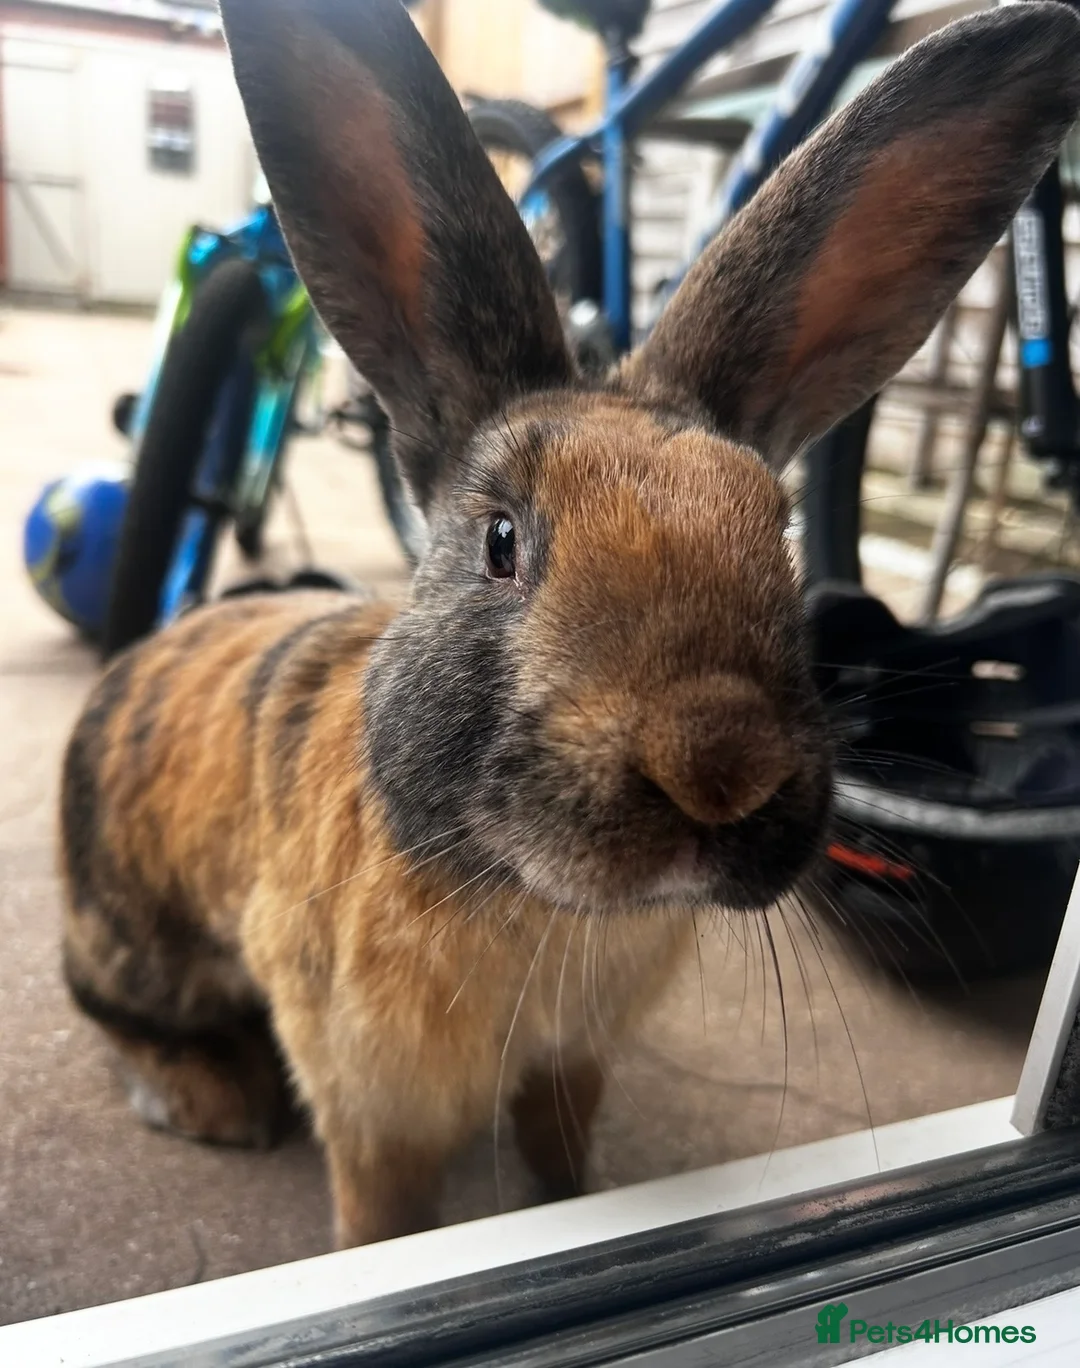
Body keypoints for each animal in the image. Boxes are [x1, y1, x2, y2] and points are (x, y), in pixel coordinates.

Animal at [59, 0, 1080, 1251]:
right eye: (503, 542)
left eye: (778, 533)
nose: (721, 769)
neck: (534, 901)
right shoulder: (374, 1111)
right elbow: (382, 1219)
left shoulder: (572, 1064)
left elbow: (559, 1157)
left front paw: (574, 1202)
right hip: (138, 946)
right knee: (111, 1012)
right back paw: (214, 1099)